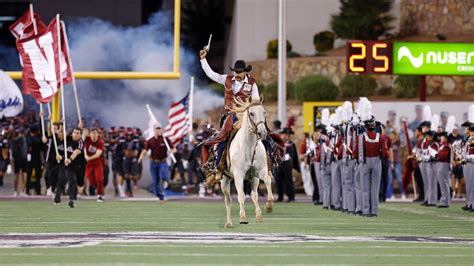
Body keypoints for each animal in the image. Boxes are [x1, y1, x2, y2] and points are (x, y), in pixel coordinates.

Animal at [221, 98, 274, 229]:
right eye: (251, 113)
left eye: (264, 112)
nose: (262, 132)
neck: (249, 146)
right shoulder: (238, 175)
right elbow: (241, 195)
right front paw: (243, 217)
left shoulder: (260, 171)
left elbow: (267, 180)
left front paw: (269, 206)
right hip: (224, 180)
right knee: (228, 200)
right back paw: (229, 223)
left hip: (253, 178)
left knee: (254, 194)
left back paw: (258, 214)